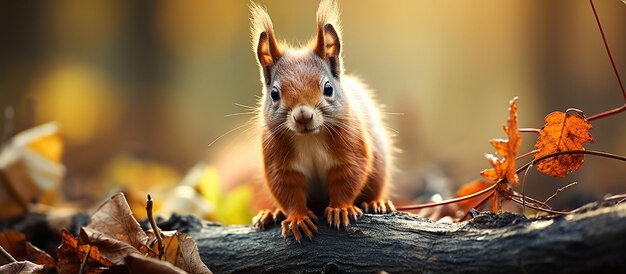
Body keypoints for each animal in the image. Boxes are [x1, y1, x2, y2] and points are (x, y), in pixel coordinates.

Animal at [250, 0, 392, 242]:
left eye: (328, 88)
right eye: (274, 94)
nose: (303, 116)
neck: (310, 139)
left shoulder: (350, 146)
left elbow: (348, 177)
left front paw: (340, 209)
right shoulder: (279, 161)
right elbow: (288, 190)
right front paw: (297, 218)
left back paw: (376, 203)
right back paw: (271, 214)